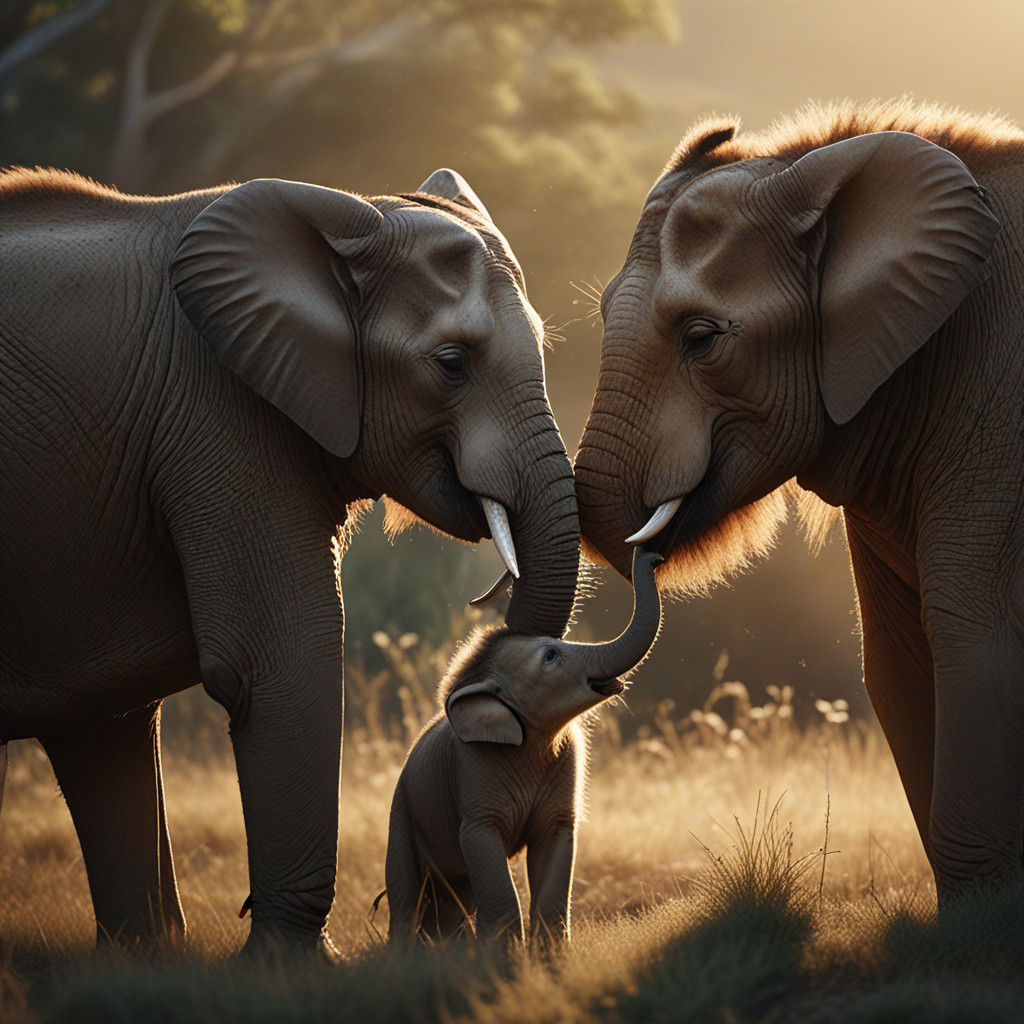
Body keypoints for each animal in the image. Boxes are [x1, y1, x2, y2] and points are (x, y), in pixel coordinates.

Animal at [386, 550, 662, 945]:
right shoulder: (474, 772)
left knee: (455, 895)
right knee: (407, 895)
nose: (654, 557)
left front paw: (549, 957)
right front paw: (505, 957)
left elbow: (554, 849)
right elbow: (485, 849)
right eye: (550, 656)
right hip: (402, 812)